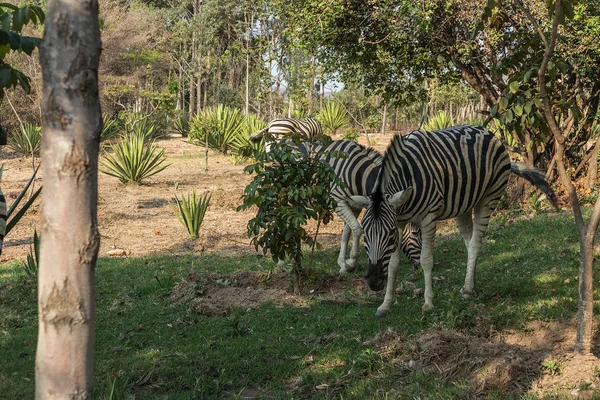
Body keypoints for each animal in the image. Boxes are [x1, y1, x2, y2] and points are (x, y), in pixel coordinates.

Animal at [352, 125, 556, 316]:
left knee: (474, 243)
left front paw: (428, 302)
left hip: (489, 197)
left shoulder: (428, 217)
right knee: (469, 241)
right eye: (365, 234)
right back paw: (471, 282)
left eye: (390, 234)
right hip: (463, 205)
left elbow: (426, 259)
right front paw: (385, 304)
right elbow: (393, 264)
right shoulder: (399, 219)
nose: (373, 282)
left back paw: (467, 289)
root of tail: (489, 132)